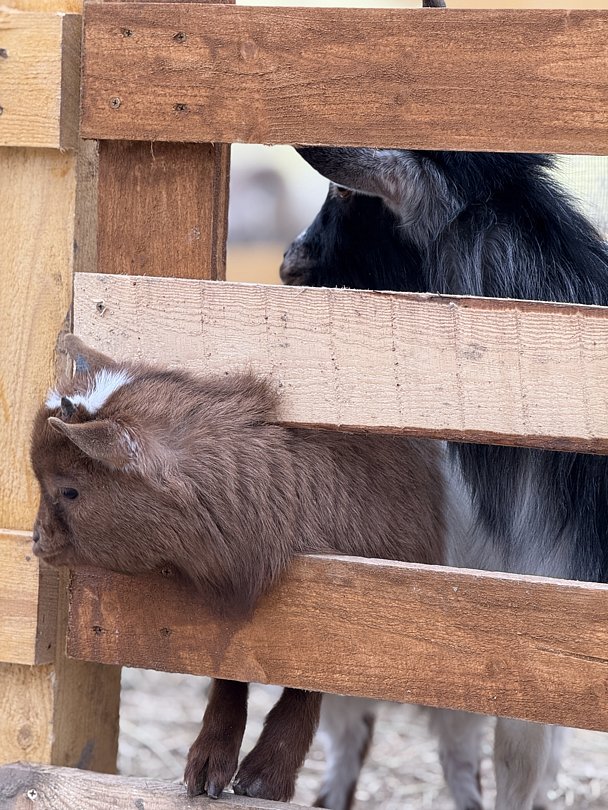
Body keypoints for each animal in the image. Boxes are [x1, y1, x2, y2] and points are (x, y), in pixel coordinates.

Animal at [31, 333, 465, 804]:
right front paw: (208, 764)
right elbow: (230, 672)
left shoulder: (348, 601)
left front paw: (265, 778)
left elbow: (311, 675)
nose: (36, 540)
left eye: (69, 490)